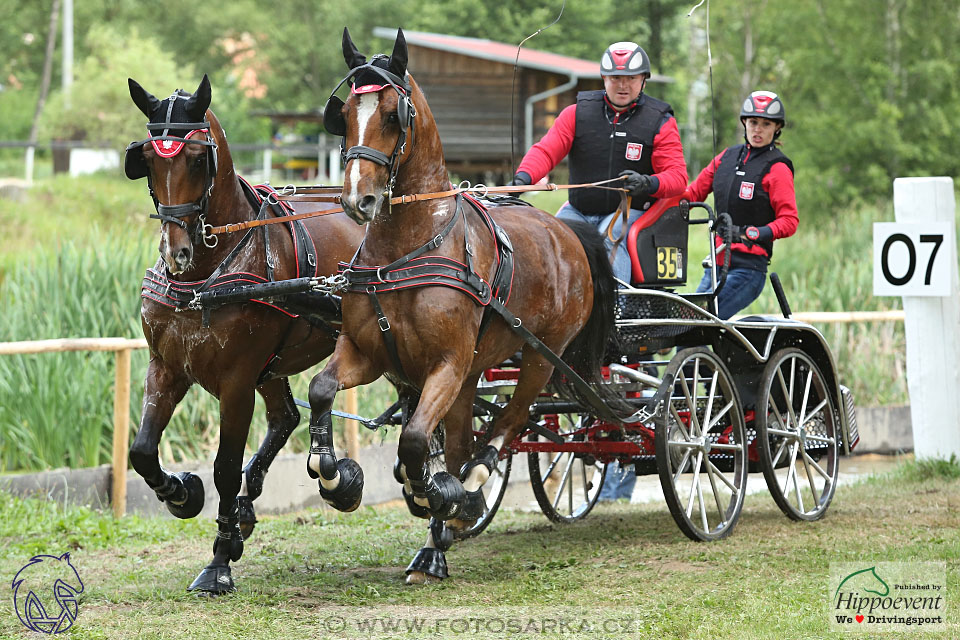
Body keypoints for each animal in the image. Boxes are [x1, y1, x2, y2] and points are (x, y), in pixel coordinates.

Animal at [125, 76, 366, 596]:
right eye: (147, 160)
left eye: (199, 159)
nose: (177, 252)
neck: (206, 277)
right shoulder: (166, 368)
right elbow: (142, 452)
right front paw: (182, 494)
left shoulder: (236, 383)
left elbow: (223, 467)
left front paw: (218, 561)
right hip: (273, 366)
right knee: (286, 418)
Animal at [308, 28, 624, 580]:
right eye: (343, 113)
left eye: (392, 114)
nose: (357, 200)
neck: (410, 246)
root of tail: (567, 231)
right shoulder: (368, 354)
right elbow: (322, 390)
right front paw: (335, 477)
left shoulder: (447, 366)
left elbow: (415, 441)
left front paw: (435, 493)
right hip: (476, 373)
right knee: (463, 439)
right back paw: (437, 541)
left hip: (539, 358)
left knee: (507, 425)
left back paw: (467, 493)